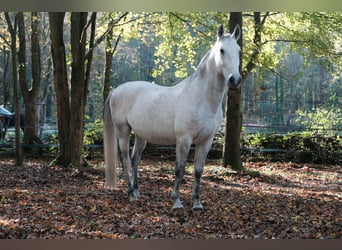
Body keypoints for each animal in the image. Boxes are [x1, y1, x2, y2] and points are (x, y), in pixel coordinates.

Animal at [104, 24, 240, 210]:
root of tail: (116, 90)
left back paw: (137, 192)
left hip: (141, 135)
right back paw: (131, 194)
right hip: (123, 131)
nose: (235, 80)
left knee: (135, 159)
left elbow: (198, 171)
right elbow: (179, 169)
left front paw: (197, 203)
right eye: (222, 50)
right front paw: (176, 201)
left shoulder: (206, 141)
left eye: (239, 50)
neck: (202, 99)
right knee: (125, 160)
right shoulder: (184, 140)